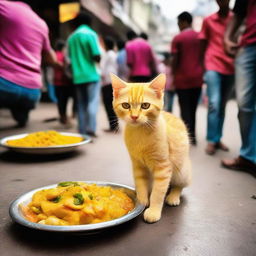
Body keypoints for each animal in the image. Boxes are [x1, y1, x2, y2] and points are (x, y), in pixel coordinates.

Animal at [110, 73, 192, 223]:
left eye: (145, 105)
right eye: (126, 105)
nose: (134, 116)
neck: (140, 132)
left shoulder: (163, 168)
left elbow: (158, 193)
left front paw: (153, 210)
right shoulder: (137, 164)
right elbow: (140, 183)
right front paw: (141, 200)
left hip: (181, 171)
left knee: (179, 185)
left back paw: (173, 196)